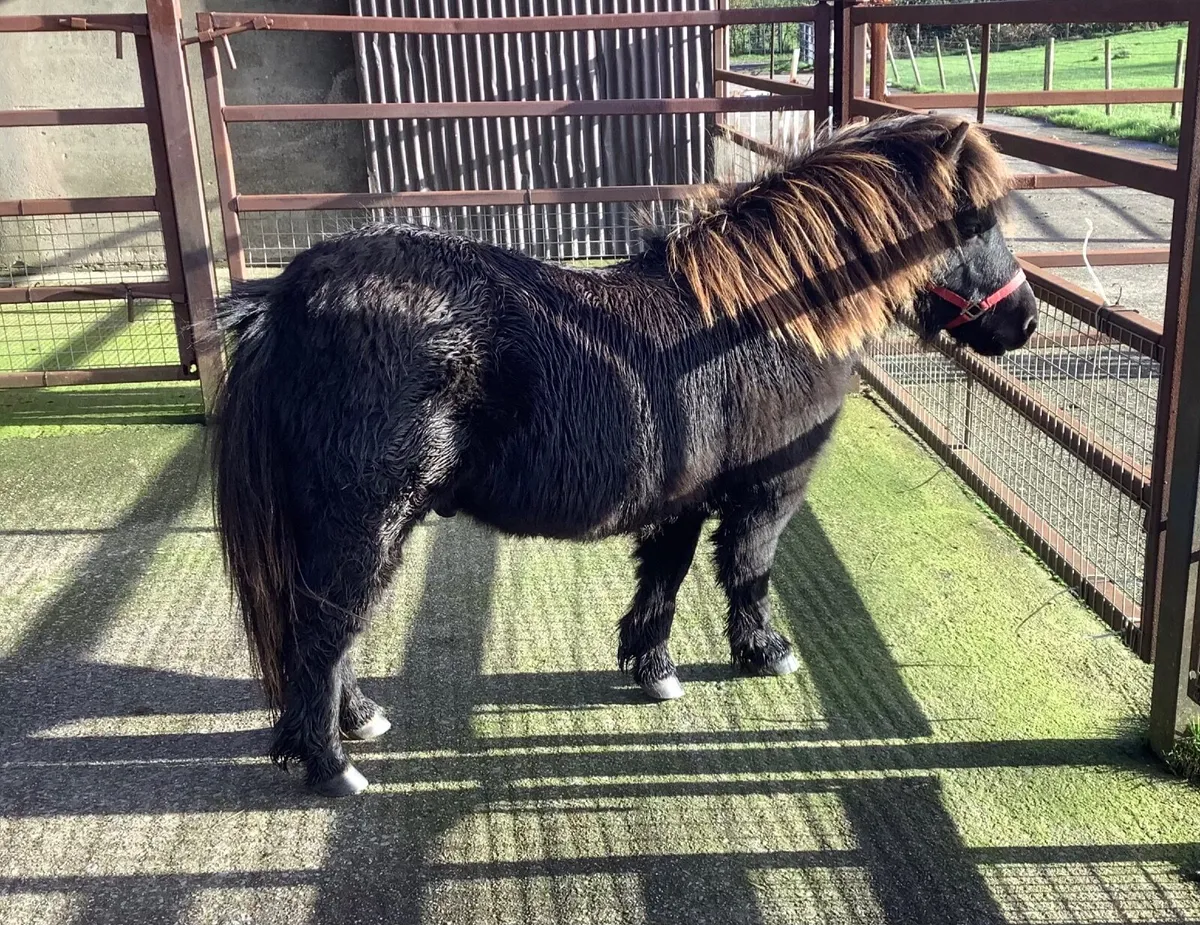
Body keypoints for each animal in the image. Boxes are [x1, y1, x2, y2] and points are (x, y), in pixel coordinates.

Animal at [211, 113, 1038, 797]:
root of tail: (282, 301)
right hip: (367, 518)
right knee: (325, 628)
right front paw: (765, 651)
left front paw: (653, 668)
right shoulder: (766, 492)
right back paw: (332, 764)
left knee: (327, 628)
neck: (764, 318)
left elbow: (663, 579)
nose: (1025, 323)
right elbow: (747, 571)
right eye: (973, 221)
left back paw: (357, 719)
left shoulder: (681, 499)